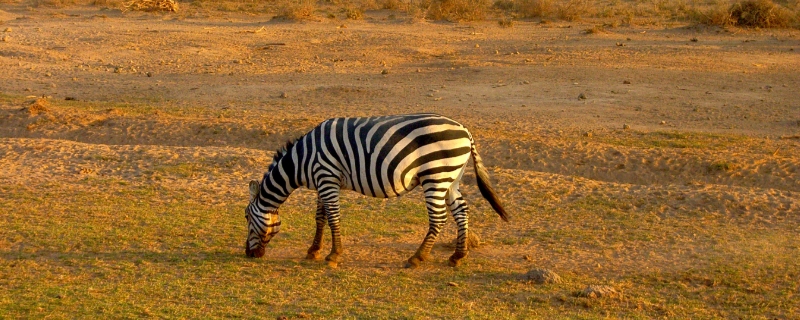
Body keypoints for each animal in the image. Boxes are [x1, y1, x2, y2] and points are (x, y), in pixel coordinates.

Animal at [244, 113, 506, 268]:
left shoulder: (327, 177)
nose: (248, 253)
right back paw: (457, 256)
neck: (302, 161)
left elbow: (333, 217)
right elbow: (321, 217)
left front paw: (334, 255)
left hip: (436, 175)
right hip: (451, 178)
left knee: (439, 218)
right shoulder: (324, 180)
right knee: (461, 211)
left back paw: (417, 257)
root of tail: (465, 131)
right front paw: (313, 250)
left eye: (246, 217)